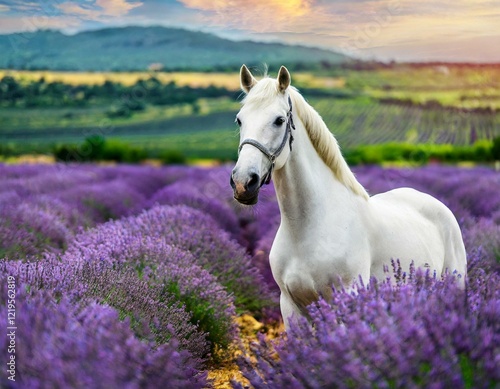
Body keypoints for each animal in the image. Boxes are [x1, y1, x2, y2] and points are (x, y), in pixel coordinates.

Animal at [232, 66, 466, 328]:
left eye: (279, 120)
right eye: (240, 119)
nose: (243, 182)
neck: (308, 229)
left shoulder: (346, 300)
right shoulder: (291, 307)